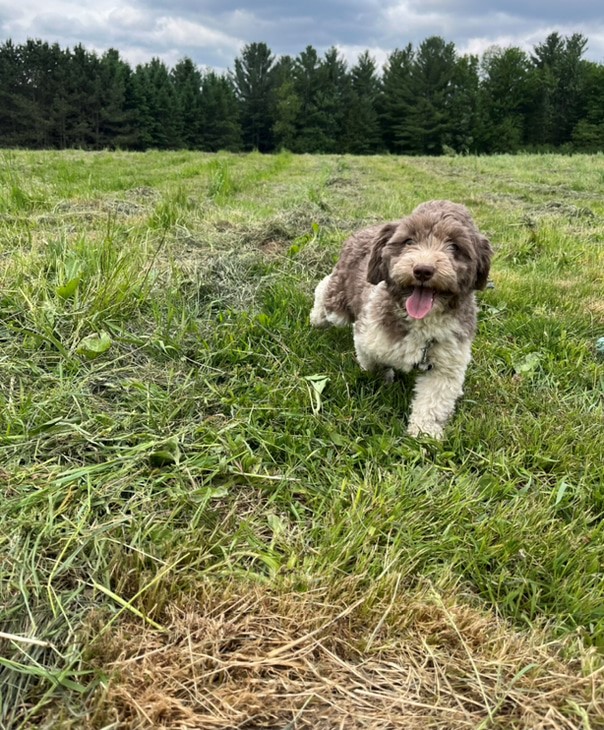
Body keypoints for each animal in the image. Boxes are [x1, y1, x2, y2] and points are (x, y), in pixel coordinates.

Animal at [310, 200, 493, 438]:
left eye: (455, 246)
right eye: (408, 241)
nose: (423, 270)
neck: (422, 323)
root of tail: (364, 229)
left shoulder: (448, 364)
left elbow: (434, 403)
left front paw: (424, 433)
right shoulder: (368, 337)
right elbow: (373, 365)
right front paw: (385, 379)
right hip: (338, 303)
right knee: (324, 289)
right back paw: (315, 316)